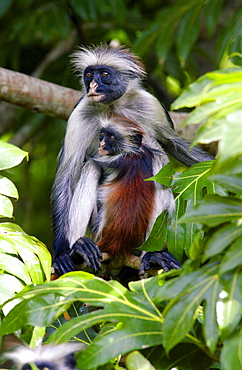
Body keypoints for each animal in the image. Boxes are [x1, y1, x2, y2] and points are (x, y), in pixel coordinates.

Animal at [51, 43, 214, 274]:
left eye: (104, 74)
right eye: (89, 74)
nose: (92, 85)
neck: (112, 106)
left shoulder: (149, 104)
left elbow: (174, 145)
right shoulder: (80, 113)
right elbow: (67, 173)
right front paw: (62, 252)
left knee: (158, 162)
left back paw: (153, 255)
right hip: (99, 228)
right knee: (91, 168)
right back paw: (78, 250)